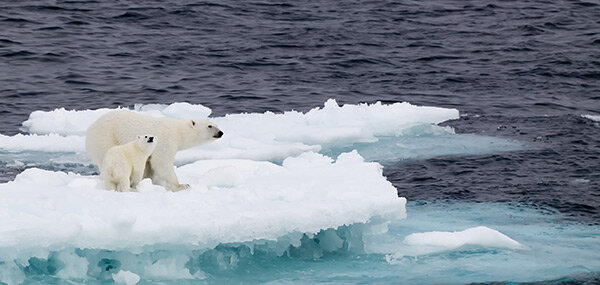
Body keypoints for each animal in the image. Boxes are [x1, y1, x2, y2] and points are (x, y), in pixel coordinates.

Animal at [85, 110, 224, 191]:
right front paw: (182, 185)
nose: (221, 132)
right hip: (106, 137)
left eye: (216, 125)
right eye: (210, 126)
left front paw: (148, 181)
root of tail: (90, 128)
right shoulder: (165, 141)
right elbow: (162, 163)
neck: (178, 132)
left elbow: (149, 165)